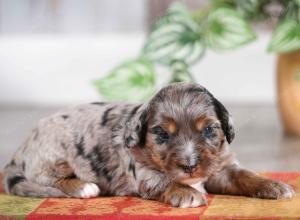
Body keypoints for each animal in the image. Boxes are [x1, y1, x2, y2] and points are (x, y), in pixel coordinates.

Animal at [2, 82, 292, 208]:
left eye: (209, 130)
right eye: (162, 134)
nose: (190, 167)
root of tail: (21, 149)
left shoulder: (221, 166)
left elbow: (244, 175)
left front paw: (274, 185)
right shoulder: (143, 173)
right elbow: (164, 181)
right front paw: (188, 193)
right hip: (53, 155)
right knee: (49, 179)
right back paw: (84, 187)